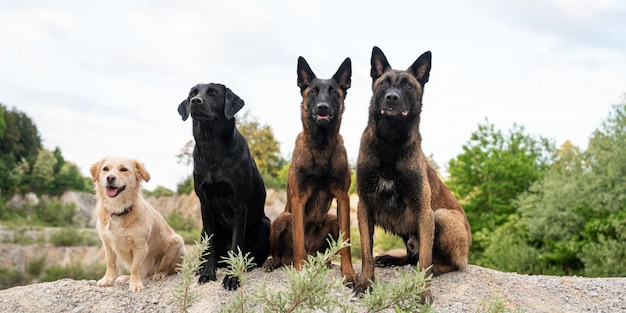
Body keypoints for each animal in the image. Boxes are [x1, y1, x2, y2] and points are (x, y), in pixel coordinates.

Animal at [89, 157, 185, 292]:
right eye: (105, 169)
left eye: (123, 169)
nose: (110, 178)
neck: (119, 210)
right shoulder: (107, 244)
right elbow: (111, 262)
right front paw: (108, 279)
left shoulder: (140, 246)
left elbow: (135, 267)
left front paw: (135, 284)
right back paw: (125, 277)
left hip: (177, 243)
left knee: (165, 269)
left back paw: (159, 274)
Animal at [178, 83, 270, 290]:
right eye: (193, 93)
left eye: (213, 93)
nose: (195, 101)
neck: (212, 145)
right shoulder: (205, 205)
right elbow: (211, 246)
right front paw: (207, 273)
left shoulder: (239, 206)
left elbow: (236, 245)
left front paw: (232, 277)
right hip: (202, 231)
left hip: (265, 223)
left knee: (252, 257)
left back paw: (246, 266)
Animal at [260, 56, 356, 286]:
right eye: (313, 92)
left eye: (333, 92)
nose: (322, 107)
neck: (321, 145)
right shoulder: (298, 198)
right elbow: (298, 240)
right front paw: (300, 271)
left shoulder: (343, 197)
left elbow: (346, 242)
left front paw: (348, 272)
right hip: (282, 218)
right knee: (281, 253)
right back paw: (274, 262)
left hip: (332, 219)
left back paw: (325, 262)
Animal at [354, 46, 470, 300]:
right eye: (384, 83)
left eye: (407, 85)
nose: (392, 97)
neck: (390, 144)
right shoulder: (364, 206)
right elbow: (366, 252)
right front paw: (365, 282)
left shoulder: (424, 212)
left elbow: (425, 258)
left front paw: (423, 293)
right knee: (411, 257)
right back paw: (392, 259)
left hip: (441, 217)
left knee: (441, 263)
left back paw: (435, 269)